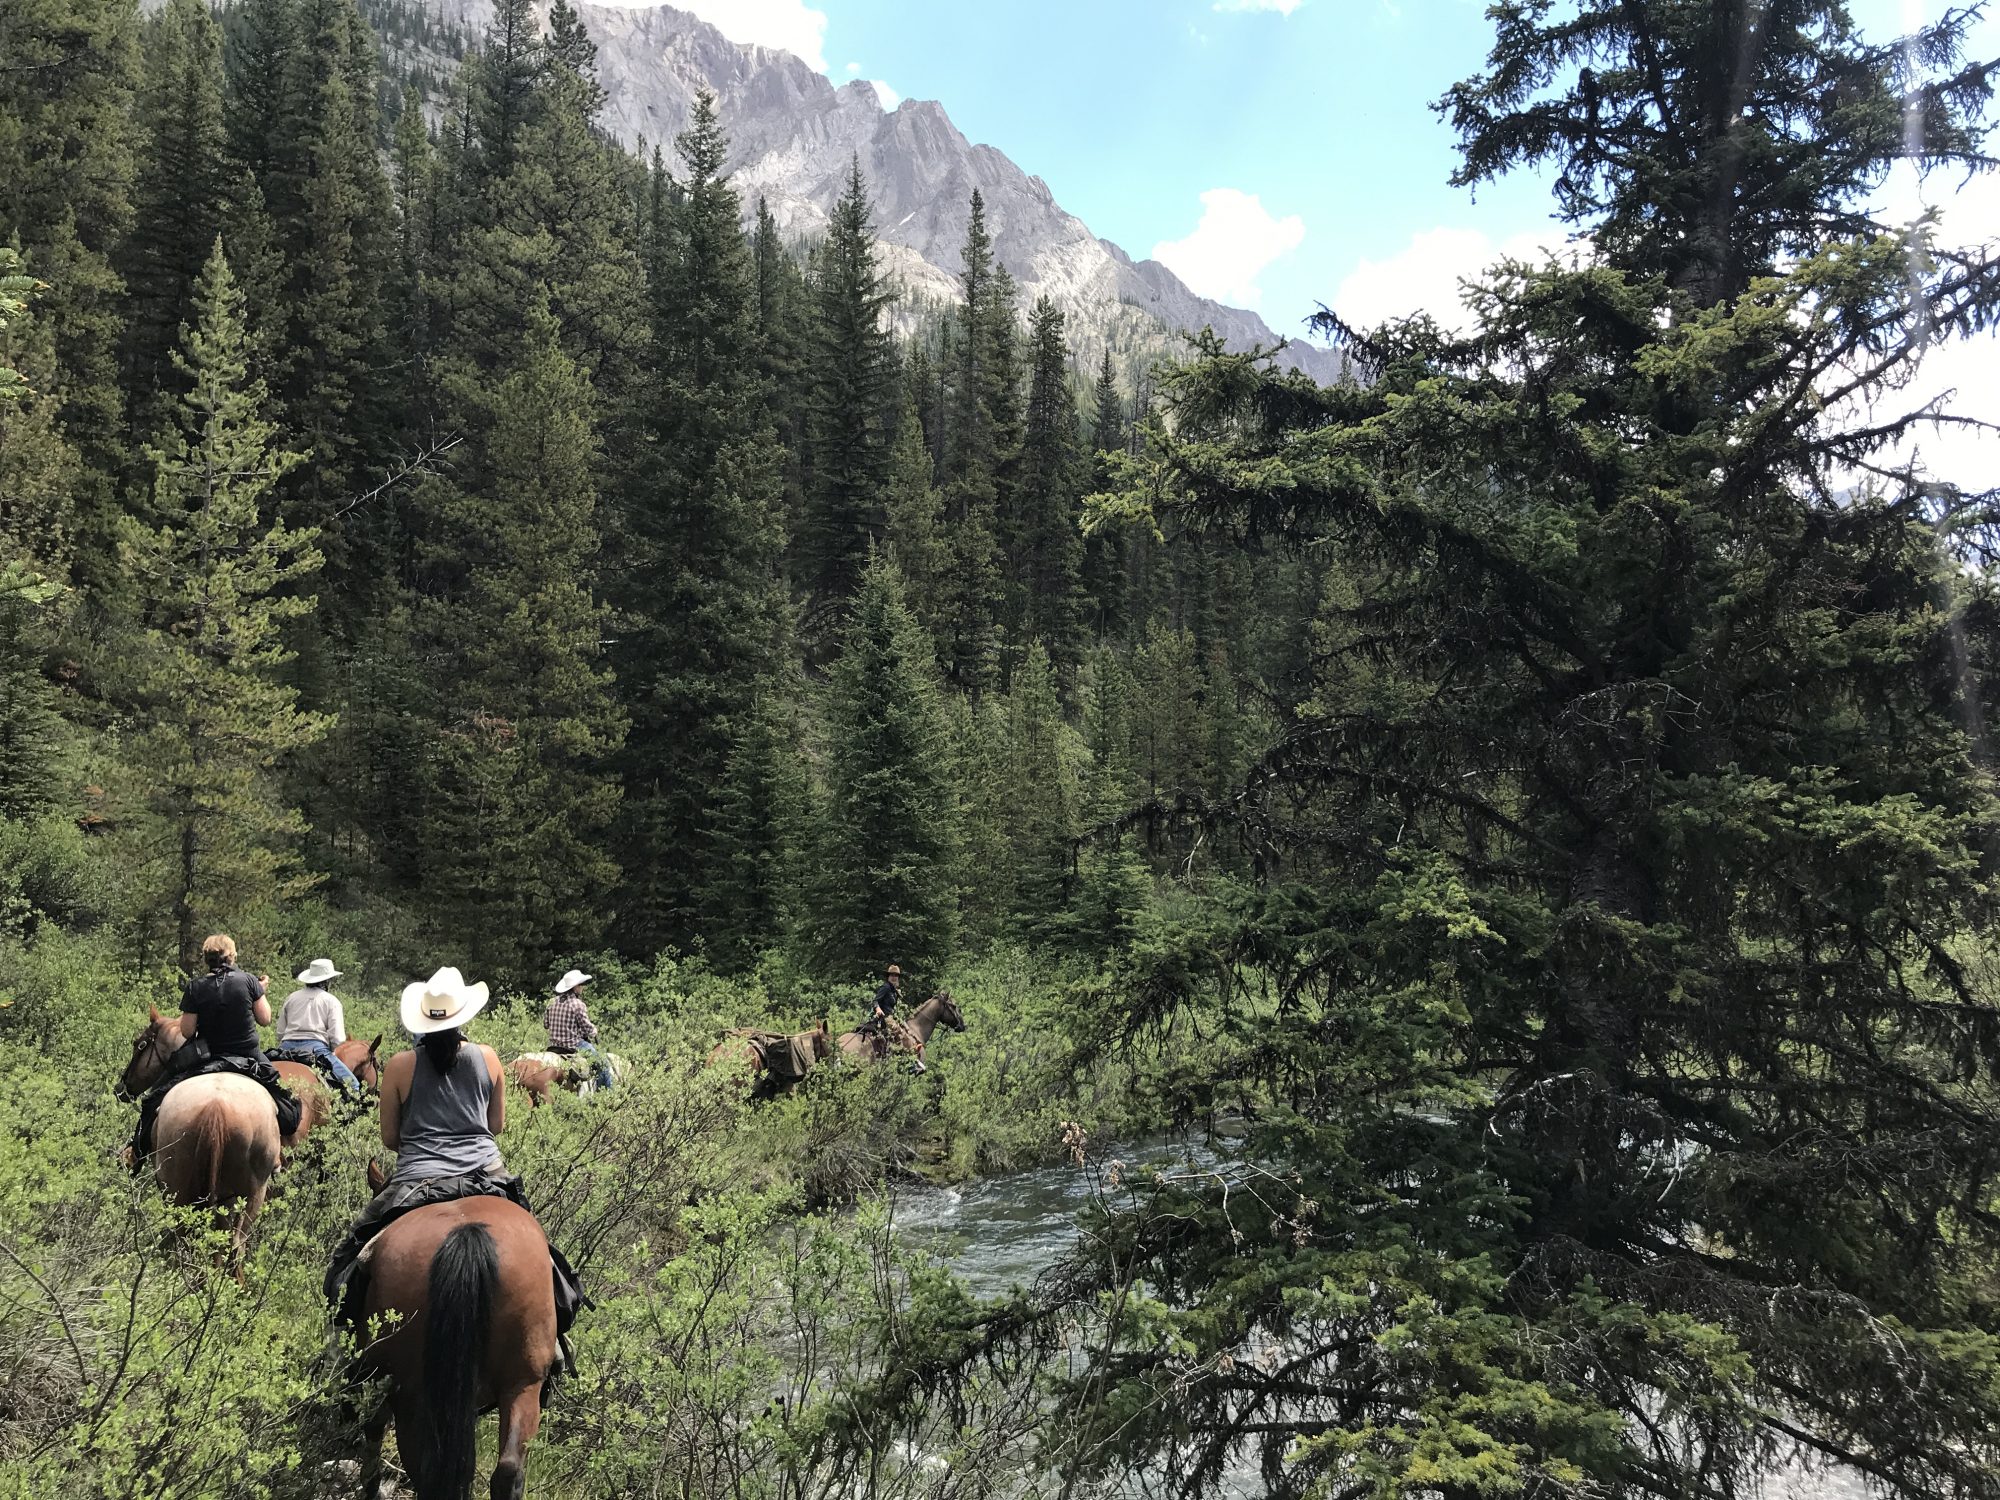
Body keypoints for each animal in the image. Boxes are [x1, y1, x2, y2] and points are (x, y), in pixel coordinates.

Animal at [115, 1012, 284, 1280]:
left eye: (139, 1044)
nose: (120, 1088)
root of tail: (216, 1108)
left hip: (184, 1192)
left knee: (192, 1240)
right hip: (248, 1193)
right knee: (232, 1245)